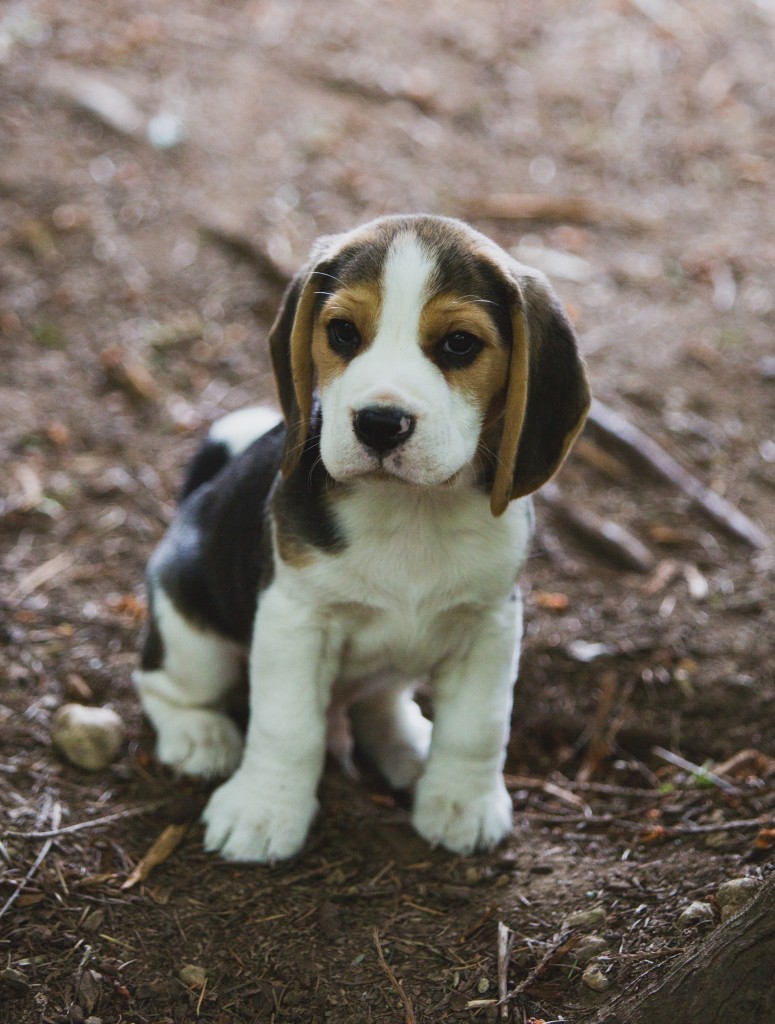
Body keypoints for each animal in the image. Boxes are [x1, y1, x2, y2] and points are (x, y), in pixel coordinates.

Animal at [136, 216, 589, 864]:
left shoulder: (490, 624)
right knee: (163, 682)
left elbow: (478, 727)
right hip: (191, 636)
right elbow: (286, 725)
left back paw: (408, 744)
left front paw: (462, 804)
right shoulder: (294, 619)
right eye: (343, 332)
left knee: (380, 700)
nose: (379, 423)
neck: (412, 510)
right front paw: (264, 811)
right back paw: (200, 734)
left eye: (459, 344)